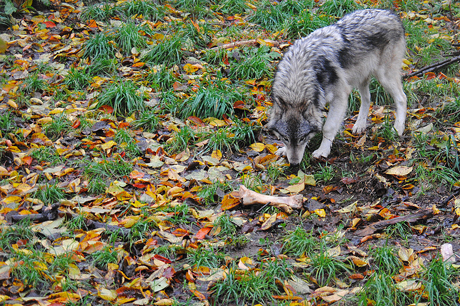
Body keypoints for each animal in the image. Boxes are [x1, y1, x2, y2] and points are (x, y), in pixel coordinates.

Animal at [268, 9, 408, 166]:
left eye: (302, 138)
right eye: (285, 138)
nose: (293, 163)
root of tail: (392, 14)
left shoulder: (340, 96)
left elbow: (328, 127)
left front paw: (322, 151)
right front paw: (284, 150)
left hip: (384, 77)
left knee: (402, 98)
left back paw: (398, 128)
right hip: (361, 78)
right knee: (367, 99)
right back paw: (359, 125)